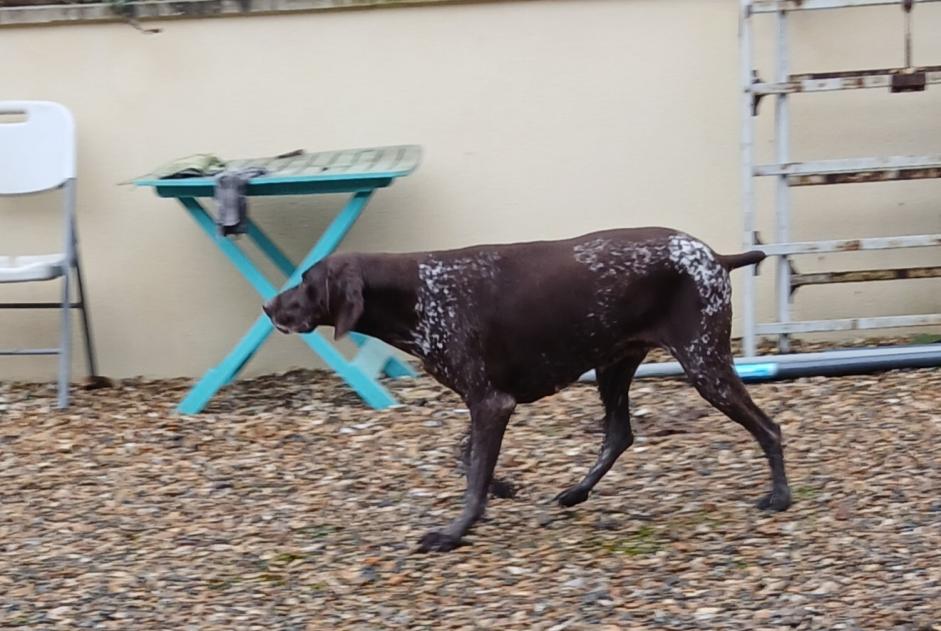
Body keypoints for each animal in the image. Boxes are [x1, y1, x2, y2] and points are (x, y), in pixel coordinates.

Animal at [262, 228, 784, 552]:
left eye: (306, 283)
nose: (268, 307)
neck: (420, 293)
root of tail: (714, 257)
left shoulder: (491, 403)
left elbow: (472, 478)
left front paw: (454, 533)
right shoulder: (485, 404)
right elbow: (467, 460)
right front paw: (502, 487)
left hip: (703, 366)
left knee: (770, 428)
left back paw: (779, 498)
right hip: (613, 367)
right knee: (619, 435)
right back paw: (576, 493)